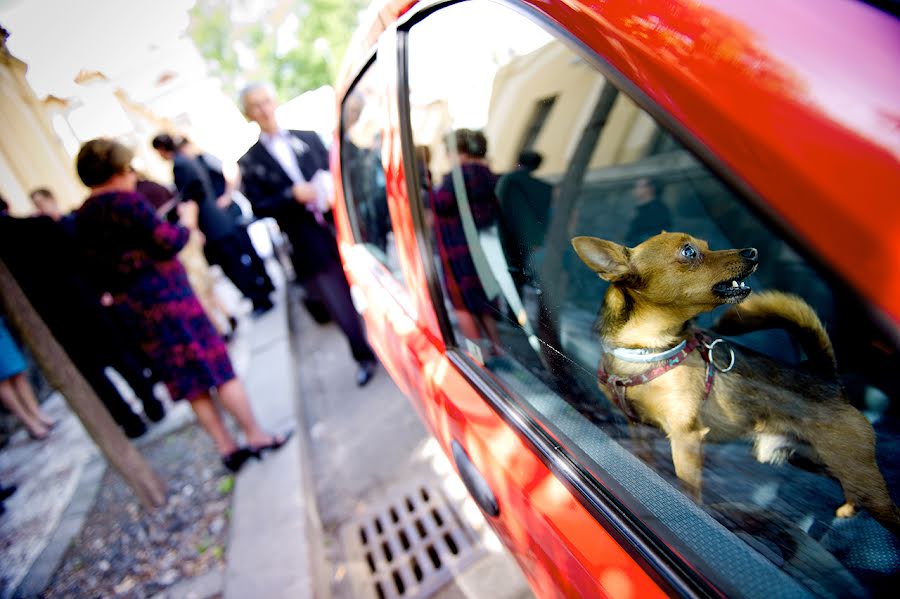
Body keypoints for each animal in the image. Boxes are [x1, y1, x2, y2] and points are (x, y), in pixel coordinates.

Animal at [572, 231, 896, 536]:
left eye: (705, 245)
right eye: (689, 252)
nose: (752, 251)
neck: (646, 351)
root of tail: (825, 375)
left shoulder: (686, 438)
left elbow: (688, 487)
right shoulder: (637, 426)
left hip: (855, 469)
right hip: (816, 459)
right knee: (851, 489)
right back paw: (846, 510)